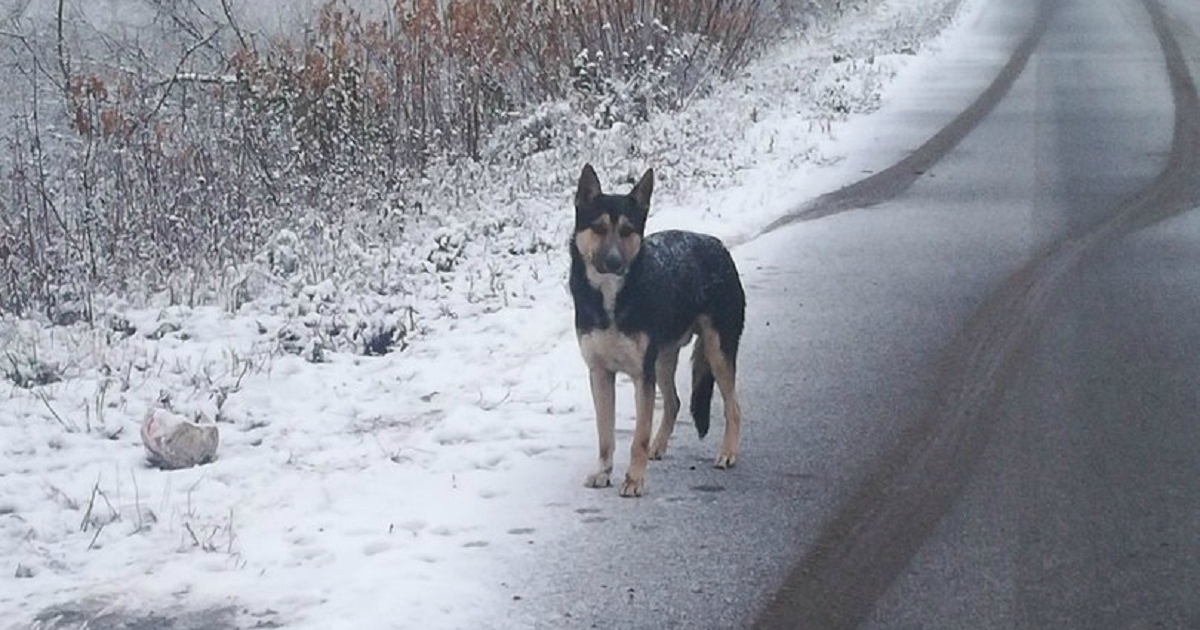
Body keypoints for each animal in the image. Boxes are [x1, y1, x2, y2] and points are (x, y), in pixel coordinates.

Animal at [566, 163, 744, 496]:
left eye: (627, 231)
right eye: (598, 228)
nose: (614, 262)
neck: (612, 297)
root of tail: (717, 245)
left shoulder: (641, 375)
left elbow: (638, 436)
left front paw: (634, 479)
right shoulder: (600, 374)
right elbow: (605, 435)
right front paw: (604, 472)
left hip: (717, 352)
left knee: (733, 406)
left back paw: (728, 452)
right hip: (663, 360)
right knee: (673, 403)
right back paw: (658, 446)